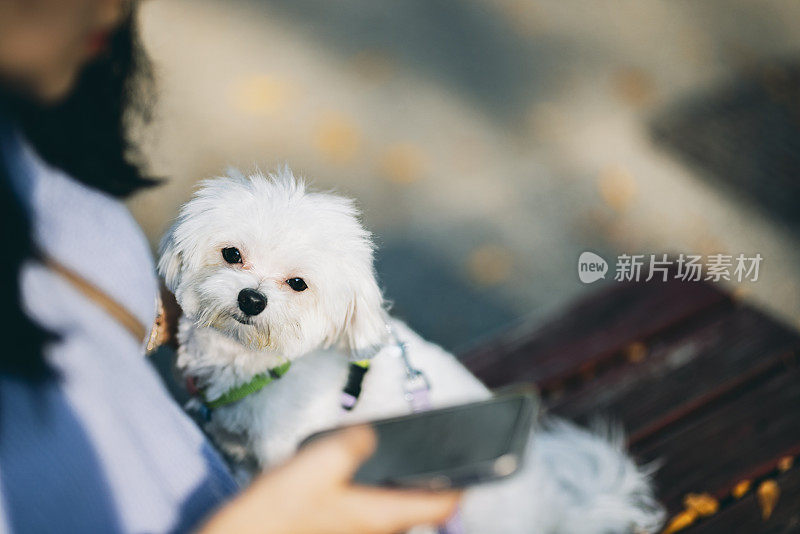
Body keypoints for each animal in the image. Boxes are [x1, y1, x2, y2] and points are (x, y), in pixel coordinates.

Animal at [156, 169, 664, 534]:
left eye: (297, 283)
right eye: (232, 254)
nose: (252, 299)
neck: (257, 366)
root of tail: (552, 511)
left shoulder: (287, 461)